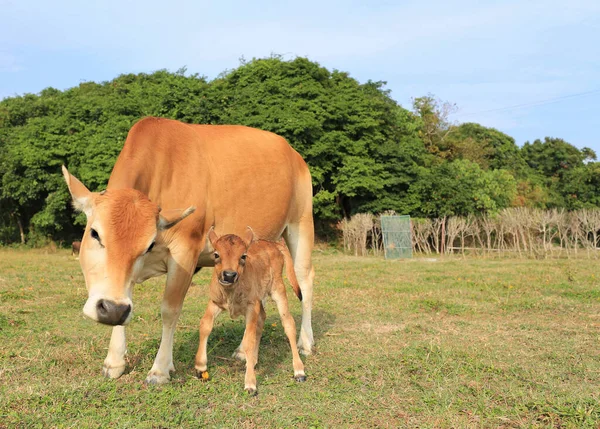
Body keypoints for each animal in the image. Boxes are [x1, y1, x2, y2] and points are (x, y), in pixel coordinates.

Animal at [197, 227, 308, 394]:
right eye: (216, 254)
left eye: (243, 256)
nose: (229, 275)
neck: (231, 292)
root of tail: (273, 244)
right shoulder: (215, 302)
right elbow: (205, 325)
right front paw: (200, 367)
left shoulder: (251, 306)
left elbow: (249, 339)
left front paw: (250, 383)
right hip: (259, 299)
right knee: (262, 319)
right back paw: (254, 361)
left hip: (278, 289)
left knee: (288, 323)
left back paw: (299, 371)